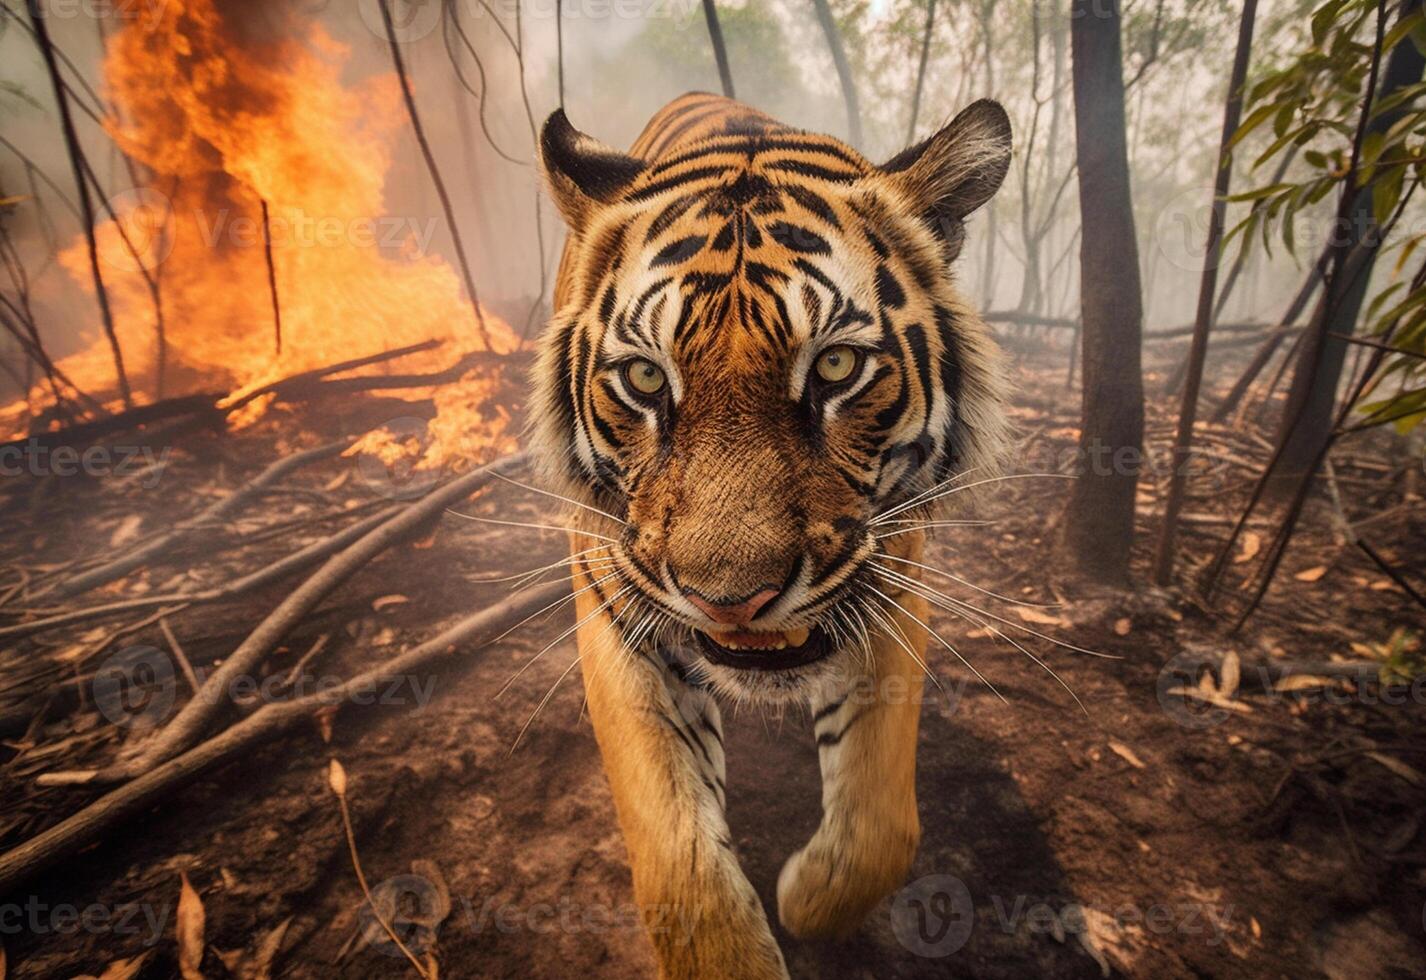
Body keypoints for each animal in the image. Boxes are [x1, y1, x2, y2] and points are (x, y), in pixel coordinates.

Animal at [530, 90, 1009, 975]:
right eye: (645, 378)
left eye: (835, 369)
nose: (731, 601)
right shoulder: (617, 614)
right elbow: (676, 853)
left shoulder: (890, 593)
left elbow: (881, 825)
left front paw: (806, 897)